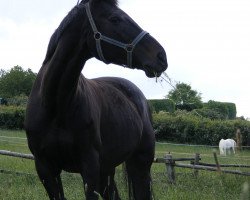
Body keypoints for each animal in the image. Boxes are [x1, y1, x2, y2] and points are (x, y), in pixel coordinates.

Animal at [24, 0, 168, 199]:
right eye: (115, 19)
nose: (161, 56)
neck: (55, 106)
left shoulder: (90, 167)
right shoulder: (45, 168)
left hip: (139, 164)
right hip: (107, 170)